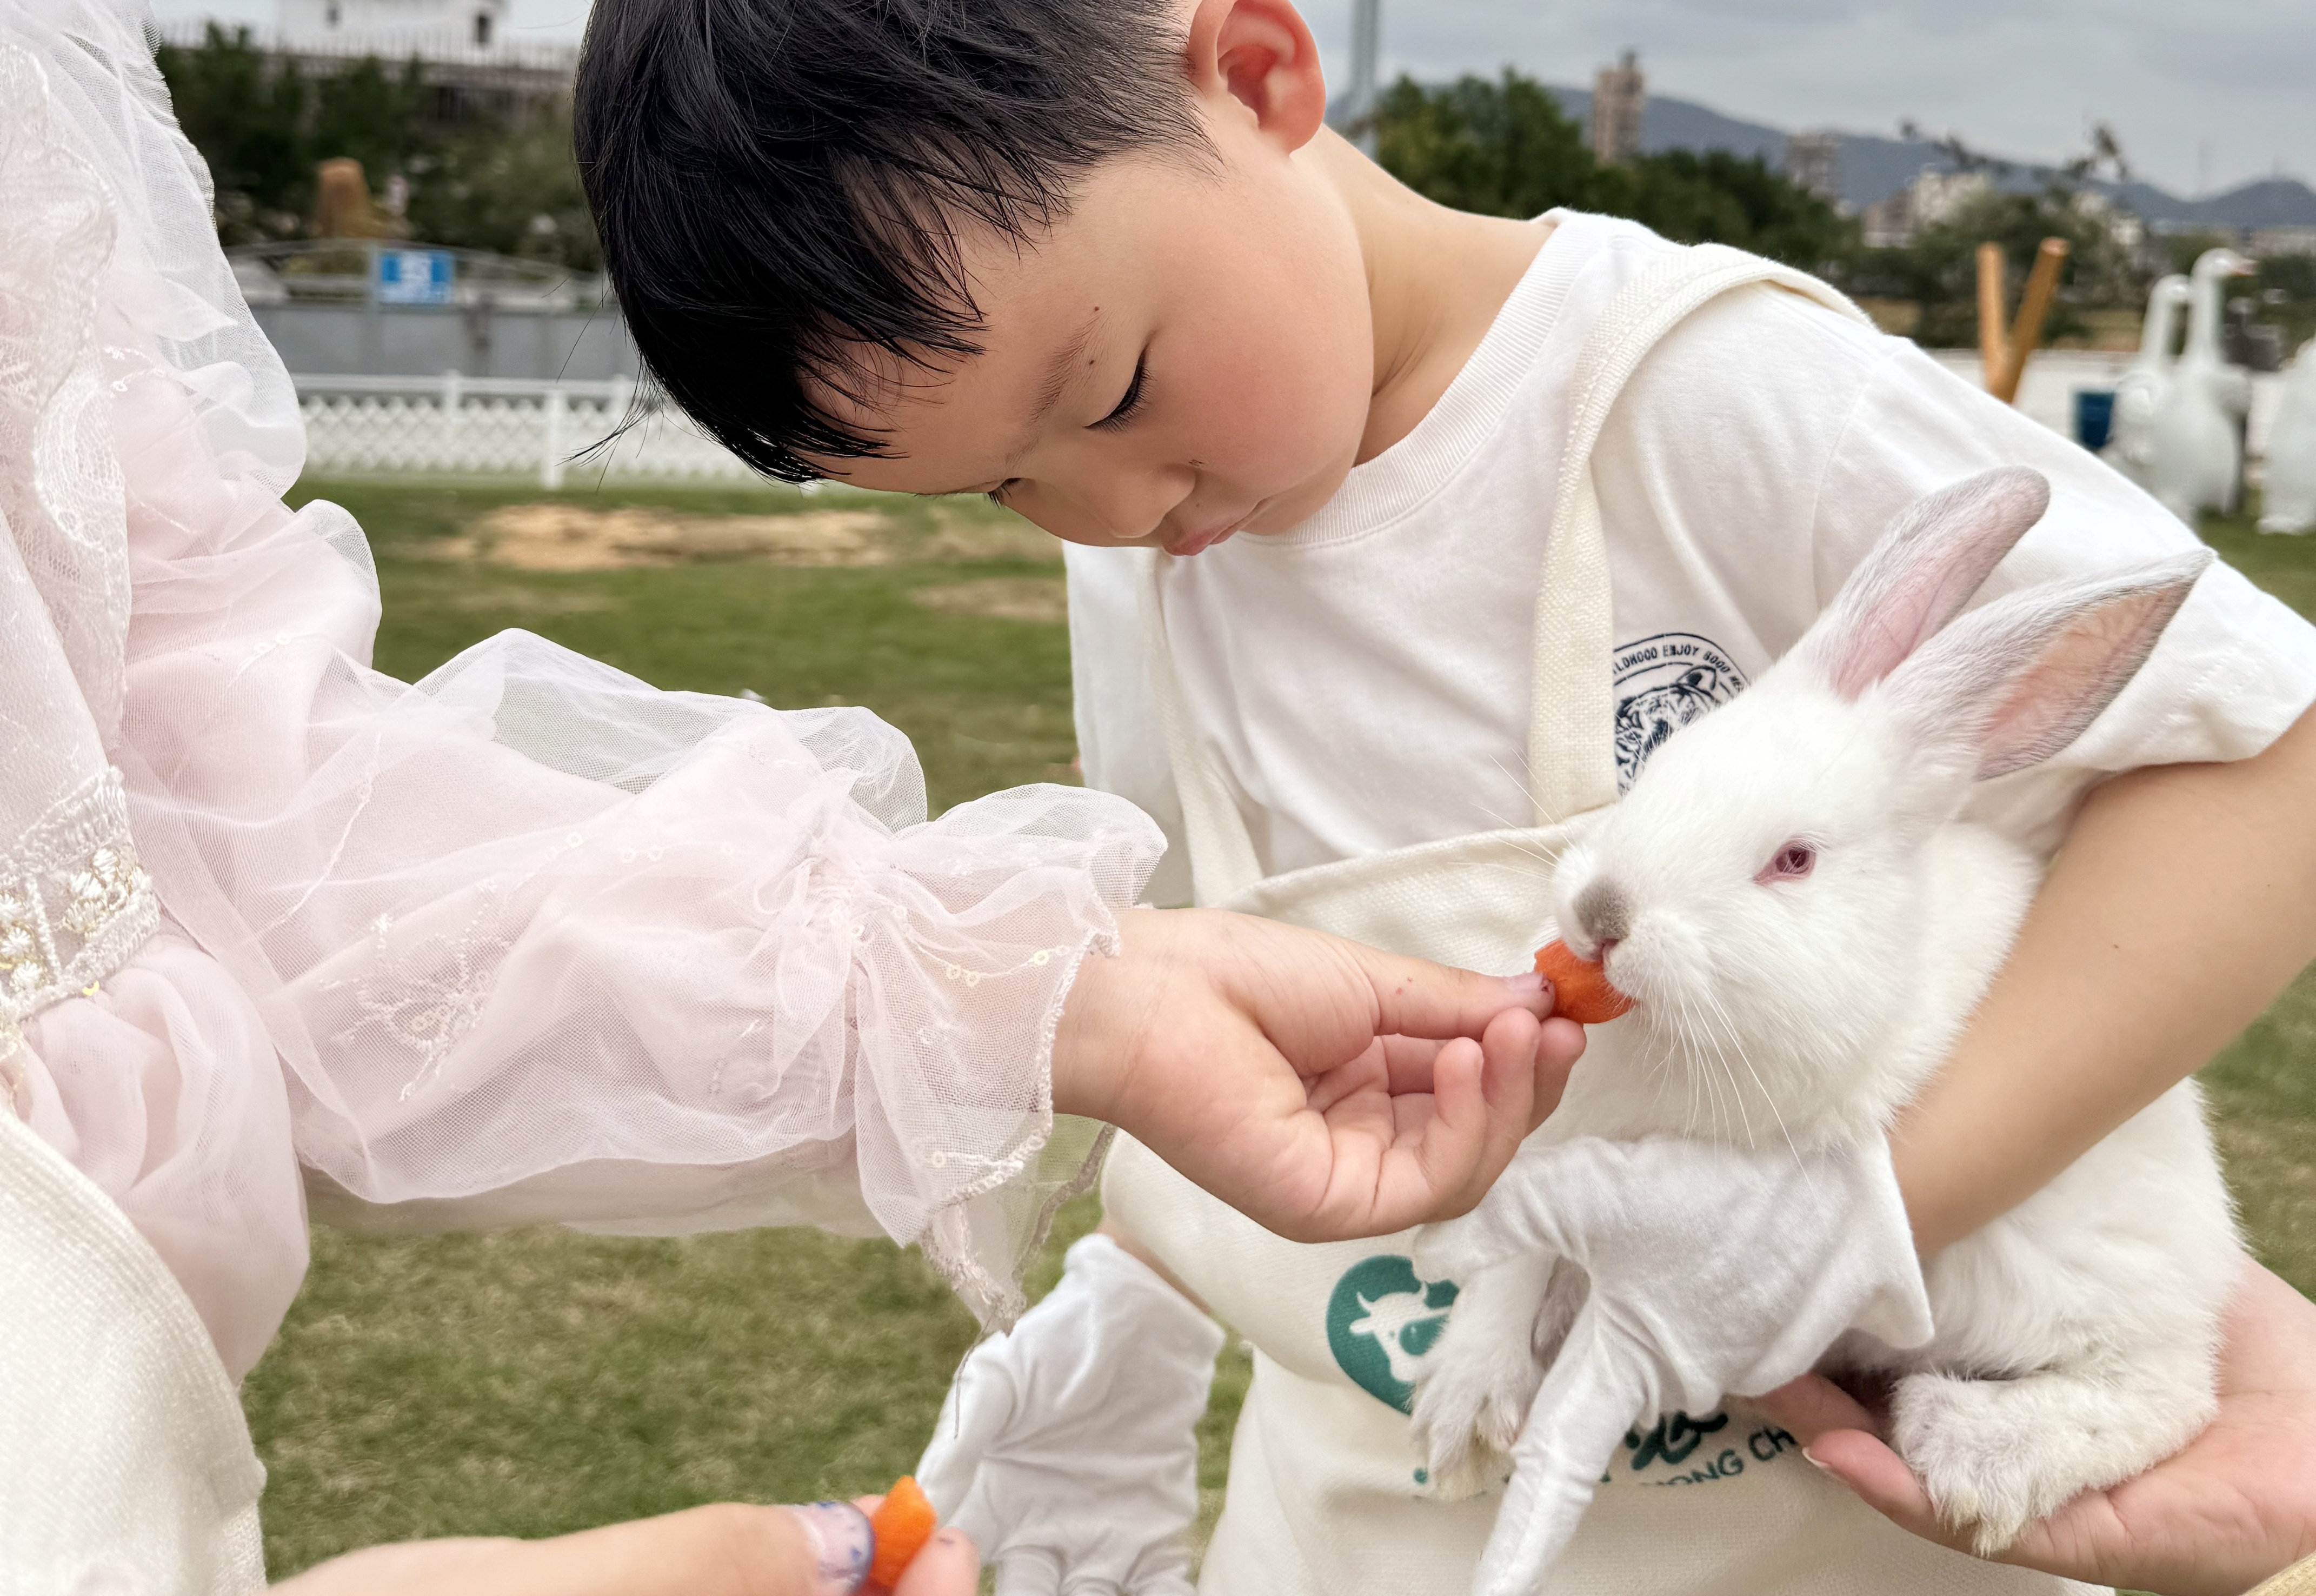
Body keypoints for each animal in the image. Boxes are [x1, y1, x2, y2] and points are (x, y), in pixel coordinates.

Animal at [1408, 468, 2241, 1547]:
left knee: (2167, 1394)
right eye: (1657, 775)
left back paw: (1973, 1447)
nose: (1600, 915)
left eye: (1793, 860)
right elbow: (1509, 1267)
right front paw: (1461, 1413)